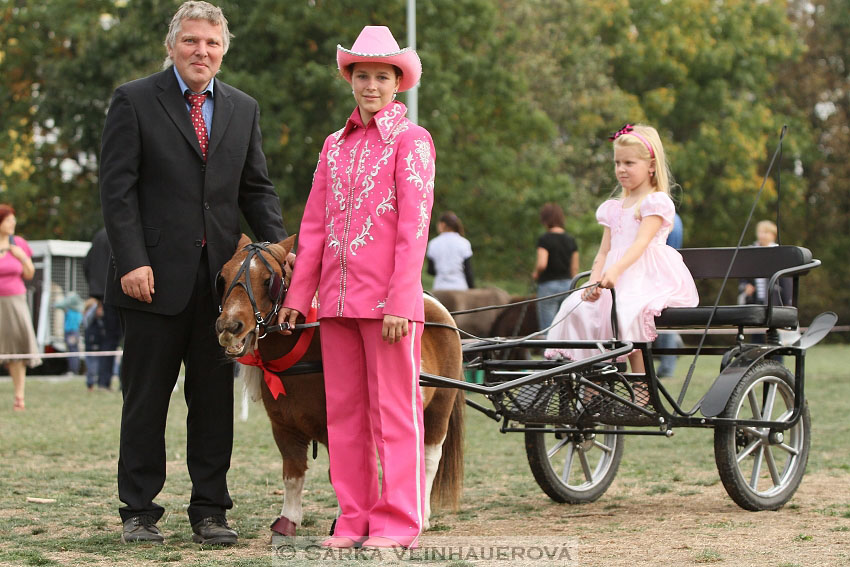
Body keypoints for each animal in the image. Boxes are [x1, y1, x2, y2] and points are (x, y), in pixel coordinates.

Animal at [214, 235, 464, 536]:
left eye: (268, 280)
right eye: (223, 276)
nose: (229, 327)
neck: (306, 352)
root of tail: (434, 303)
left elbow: (342, 472)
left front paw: (346, 522)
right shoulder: (283, 427)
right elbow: (292, 474)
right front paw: (288, 521)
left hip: (440, 406)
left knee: (428, 457)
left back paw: (420, 515)